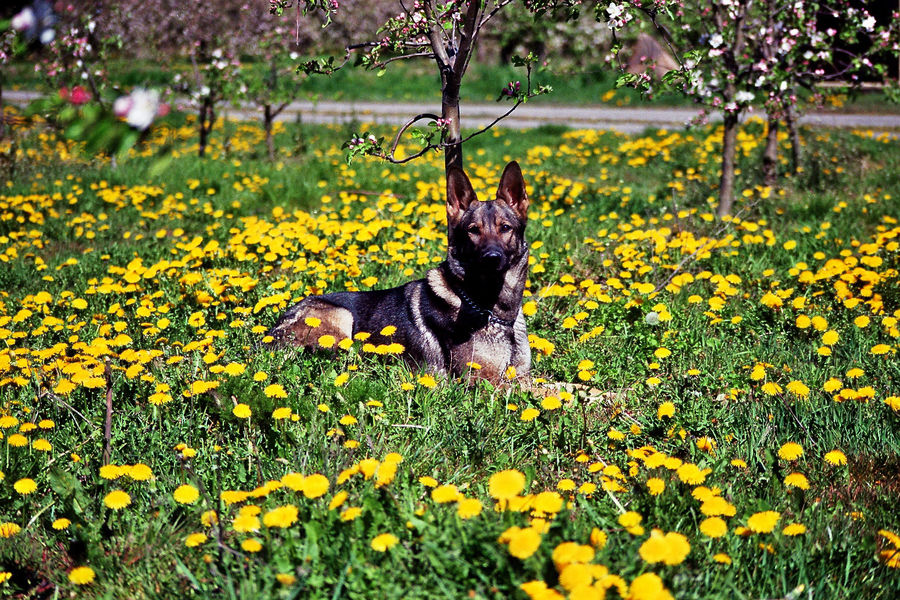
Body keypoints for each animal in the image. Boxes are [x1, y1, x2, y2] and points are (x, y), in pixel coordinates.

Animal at [264, 162, 532, 382]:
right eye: (473, 230)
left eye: (505, 228)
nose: (492, 259)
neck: (497, 314)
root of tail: (271, 331)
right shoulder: (486, 381)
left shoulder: (520, 375)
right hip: (342, 318)